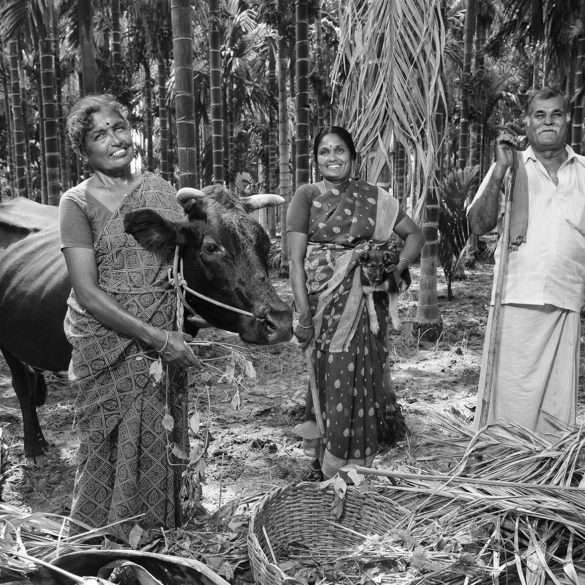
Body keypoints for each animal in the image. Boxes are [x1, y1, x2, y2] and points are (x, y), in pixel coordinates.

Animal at [0, 187, 292, 456]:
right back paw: (33, 448)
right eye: (211, 247)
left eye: (265, 245)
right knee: (22, 386)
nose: (280, 321)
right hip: (8, 346)